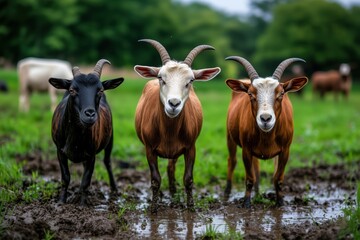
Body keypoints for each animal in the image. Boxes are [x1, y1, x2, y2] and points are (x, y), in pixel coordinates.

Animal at [49, 58, 124, 204]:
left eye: (100, 90)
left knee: (107, 162)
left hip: (110, 138)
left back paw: (114, 189)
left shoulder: (91, 155)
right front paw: (61, 202)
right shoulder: (60, 151)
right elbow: (65, 178)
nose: (89, 114)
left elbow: (86, 181)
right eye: (72, 90)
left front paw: (82, 205)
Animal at [134, 39, 221, 212]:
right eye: (161, 77)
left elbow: (188, 179)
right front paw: (153, 208)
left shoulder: (190, 148)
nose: (173, 104)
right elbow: (155, 179)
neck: (169, 131)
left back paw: (173, 193)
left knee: (171, 167)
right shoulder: (149, 149)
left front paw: (191, 207)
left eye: (191, 81)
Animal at [225, 57, 306, 207]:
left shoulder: (285, 150)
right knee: (232, 160)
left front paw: (280, 202)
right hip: (229, 136)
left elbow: (278, 178)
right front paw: (246, 203)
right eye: (250, 94)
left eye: (281, 93)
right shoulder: (246, 149)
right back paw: (227, 191)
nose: (266, 118)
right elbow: (249, 178)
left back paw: (257, 191)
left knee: (256, 165)